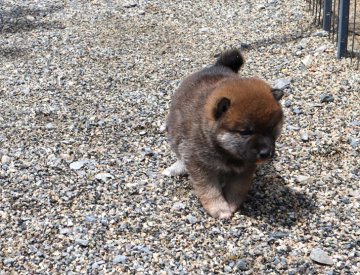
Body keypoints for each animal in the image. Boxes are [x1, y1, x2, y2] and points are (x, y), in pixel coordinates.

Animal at [163, 49, 284, 220]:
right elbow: (209, 190)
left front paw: (232, 204)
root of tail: (218, 66)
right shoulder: (200, 165)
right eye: (246, 132)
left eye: (271, 129)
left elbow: (237, 188)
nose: (266, 153)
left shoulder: (244, 168)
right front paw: (219, 208)